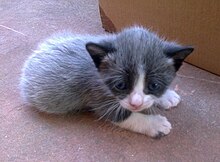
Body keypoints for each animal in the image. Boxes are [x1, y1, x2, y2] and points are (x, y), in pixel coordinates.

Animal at [20, 26, 192, 138]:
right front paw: (155, 124)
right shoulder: (96, 93)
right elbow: (124, 116)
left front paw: (166, 96)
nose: (136, 103)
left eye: (154, 85)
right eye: (120, 85)